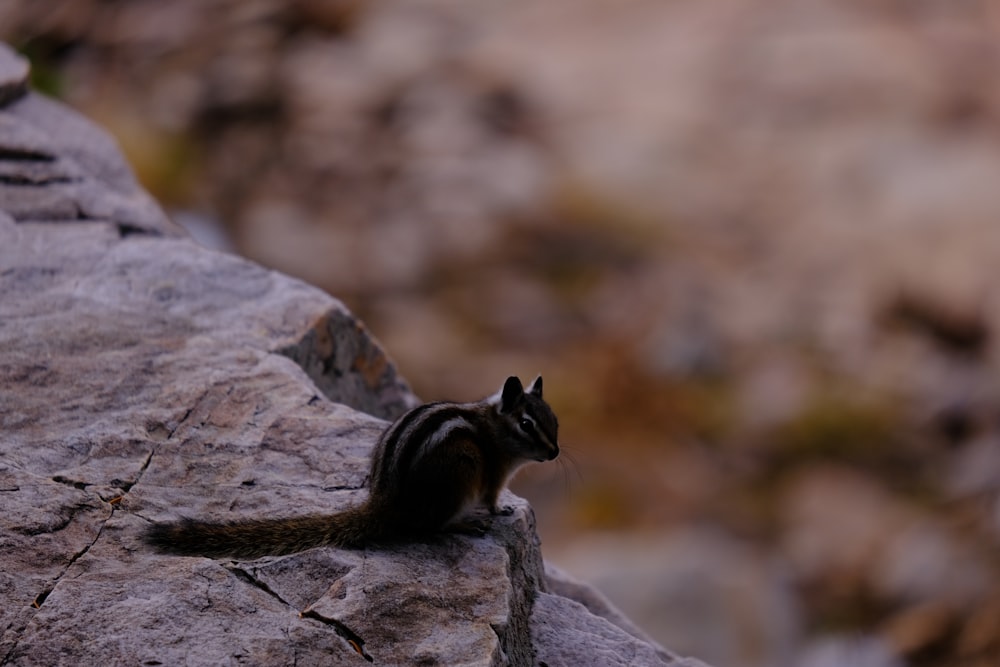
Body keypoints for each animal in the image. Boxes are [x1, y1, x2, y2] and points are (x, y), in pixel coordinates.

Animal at [144, 376, 560, 560]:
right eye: (527, 424)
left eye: (554, 420)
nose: (555, 453)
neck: (494, 426)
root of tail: (387, 502)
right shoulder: (493, 473)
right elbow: (491, 498)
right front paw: (502, 510)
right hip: (461, 470)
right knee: (432, 526)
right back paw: (463, 524)